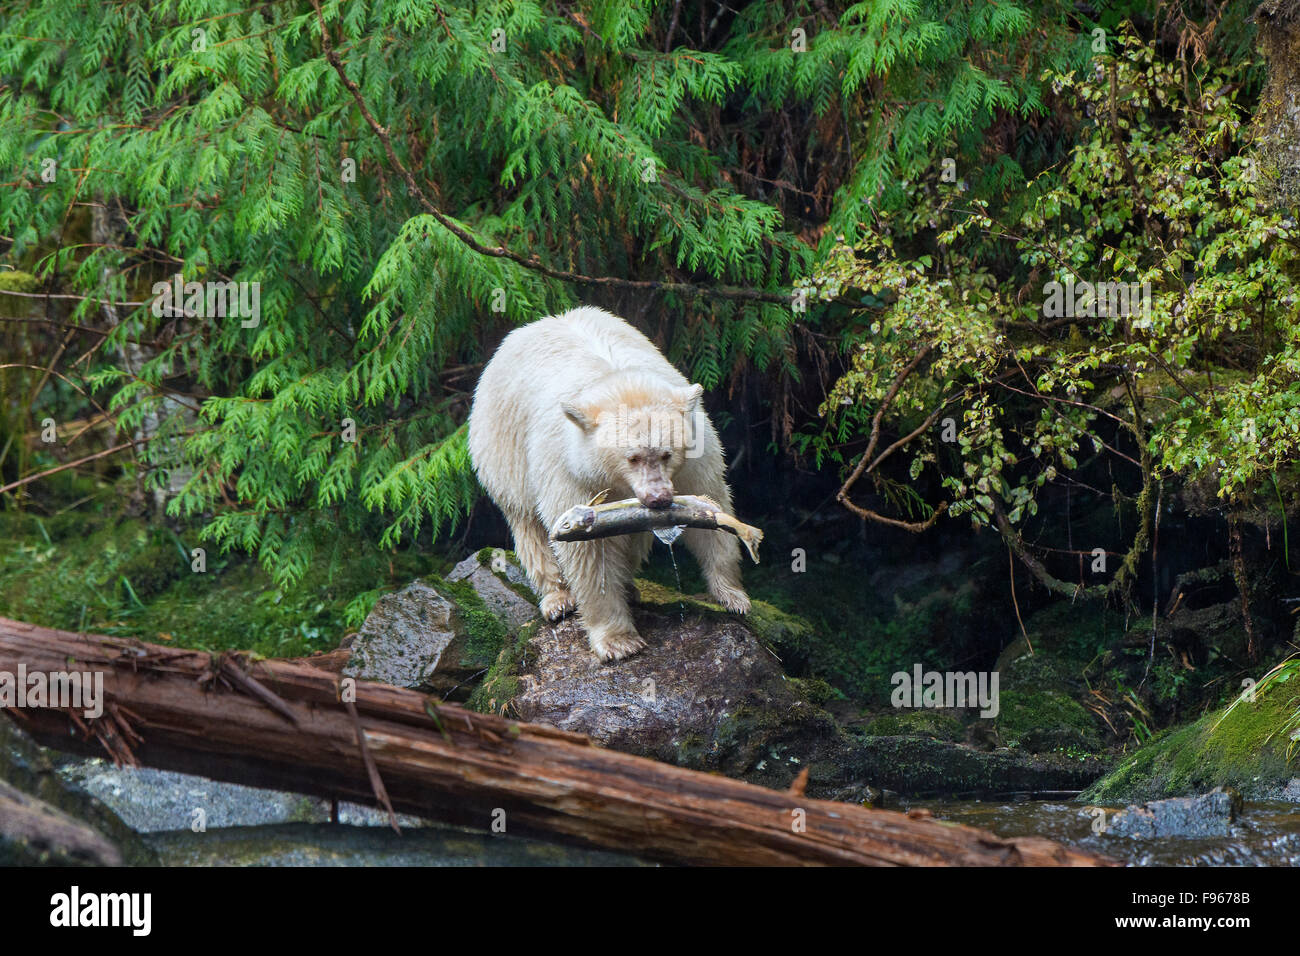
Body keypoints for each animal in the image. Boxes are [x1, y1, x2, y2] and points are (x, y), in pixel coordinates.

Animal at [467, 306, 754, 658]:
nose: (659, 498)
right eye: (632, 457)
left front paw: (733, 596)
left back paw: (629, 586)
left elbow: (710, 502)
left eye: (667, 454)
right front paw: (619, 642)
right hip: (504, 446)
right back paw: (557, 599)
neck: (618, 381)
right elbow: (590, 553)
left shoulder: (696, 454)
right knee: (526, 520)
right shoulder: (571, 471)